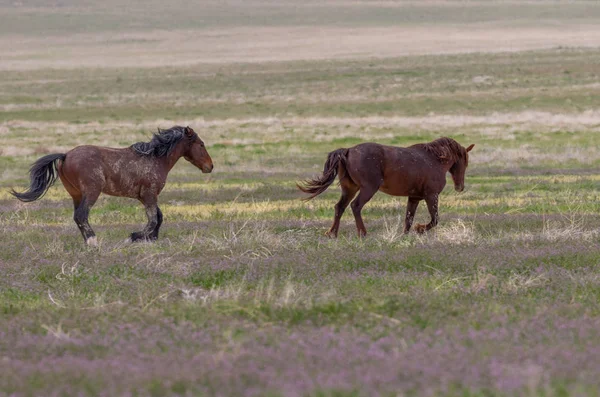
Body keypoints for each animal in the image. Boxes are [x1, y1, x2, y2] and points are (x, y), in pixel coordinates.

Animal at [11, 127, 213, 244]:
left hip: (76, 194)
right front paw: (134, 237)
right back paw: (93, 242)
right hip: (91, 192)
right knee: (81, 215)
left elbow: (159, 217)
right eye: (201, 144)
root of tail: (66, 155)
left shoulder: (145, 196)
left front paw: (151, 239)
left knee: (78, 217)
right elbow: (153, 219)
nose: (210, 166)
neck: (156, 158)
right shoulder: (150, 194)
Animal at [296, 137, 474, 235]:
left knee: (339, 207)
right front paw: (420, 229)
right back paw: (362, 233)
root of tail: (348, 151)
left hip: (349, 188)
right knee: (355, 206)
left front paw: (405, 236)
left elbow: (408, 219)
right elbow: (434, 219)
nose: (460, 187)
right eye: (464, 162)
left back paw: (332, 233)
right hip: (368, 188)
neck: (434, 159)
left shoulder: (414, 197)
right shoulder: (431, 195)